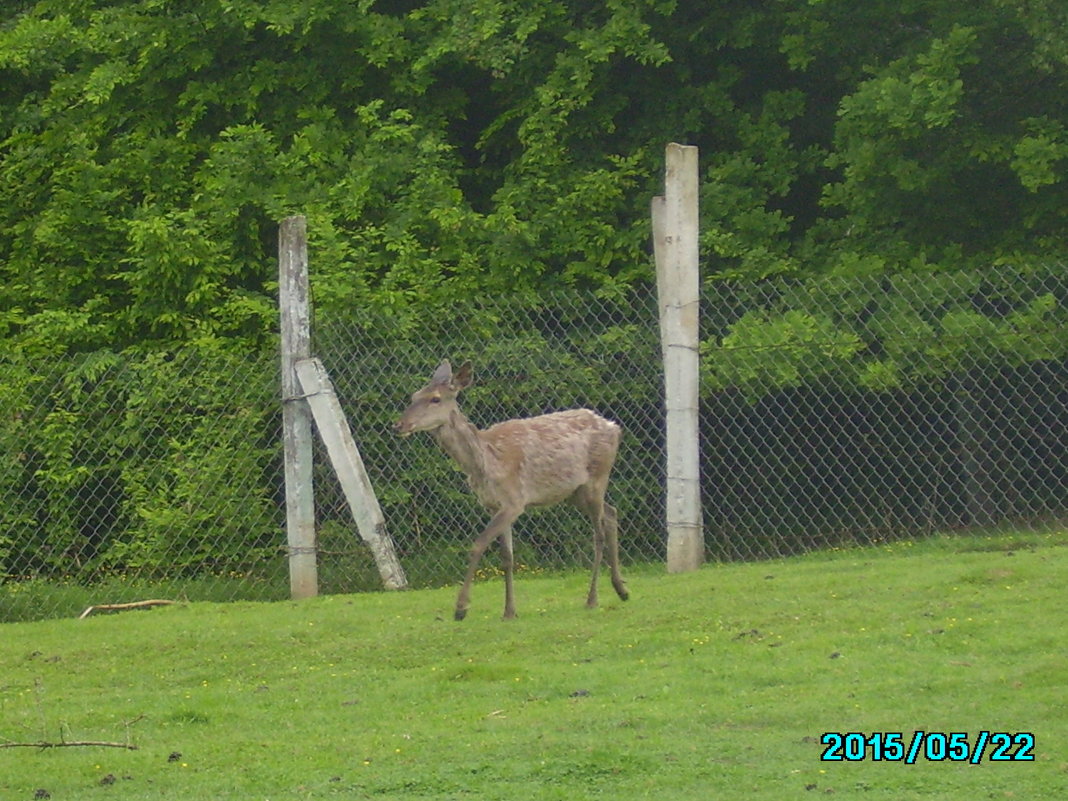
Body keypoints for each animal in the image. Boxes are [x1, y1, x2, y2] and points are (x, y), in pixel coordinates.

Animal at [393, 363, 623, 619]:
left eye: (435, 398)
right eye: (413, 396)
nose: (398, 425)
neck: (486, 462)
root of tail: (614, 427)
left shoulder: (514, 501)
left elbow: (478, 544)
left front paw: (461, 608)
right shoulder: (494, 505)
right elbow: (507, 557)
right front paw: (509, 611)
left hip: (597, 476)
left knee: (598, 532)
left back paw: (592, 599)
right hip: (574, 491)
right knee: (611, 513)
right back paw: (621, 589)